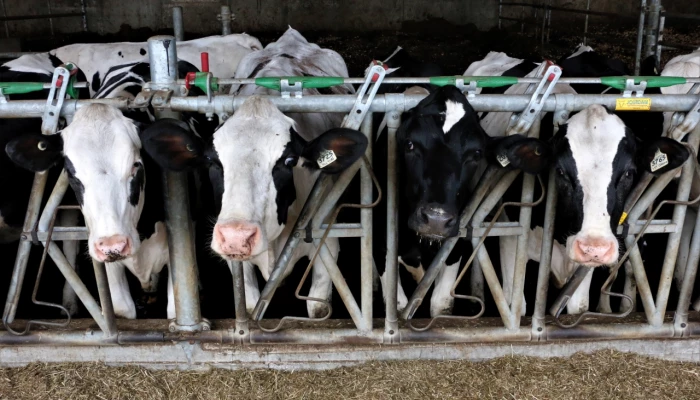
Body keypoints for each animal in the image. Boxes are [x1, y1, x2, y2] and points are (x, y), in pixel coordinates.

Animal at [141, 28, 367, 318]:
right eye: (212, 161)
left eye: (289, 160)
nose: (236, 237)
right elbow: (249, 305)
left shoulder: (327, 242)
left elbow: (317, 309)